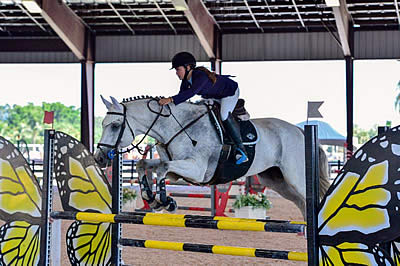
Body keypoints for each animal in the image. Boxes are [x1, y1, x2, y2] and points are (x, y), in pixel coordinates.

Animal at [94, 95, 332, 218]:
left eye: (115, 125)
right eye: (104, 124)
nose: (100, 158)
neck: (176, 126)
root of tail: (300, 131)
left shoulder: (197, 170)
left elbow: (161, 169)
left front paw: (166, 201)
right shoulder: (177, 171)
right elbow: (145, 164)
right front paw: (151, 199)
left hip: (295, 177)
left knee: (311, 200)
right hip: (276, 180)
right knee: (302, 204)